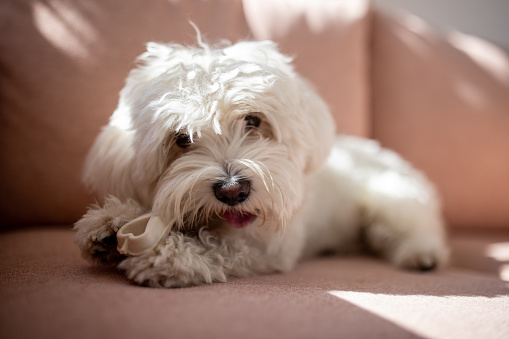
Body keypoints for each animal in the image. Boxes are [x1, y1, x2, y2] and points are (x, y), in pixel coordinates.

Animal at [73, 36, 446, 286]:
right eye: (183, 138)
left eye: (253, 120)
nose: (232, 190)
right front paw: (110, 222)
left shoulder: (269, 247)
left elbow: (222, 247)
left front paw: (167, 256)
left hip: (392, 200)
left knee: (416, 227)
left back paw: (422, 254)